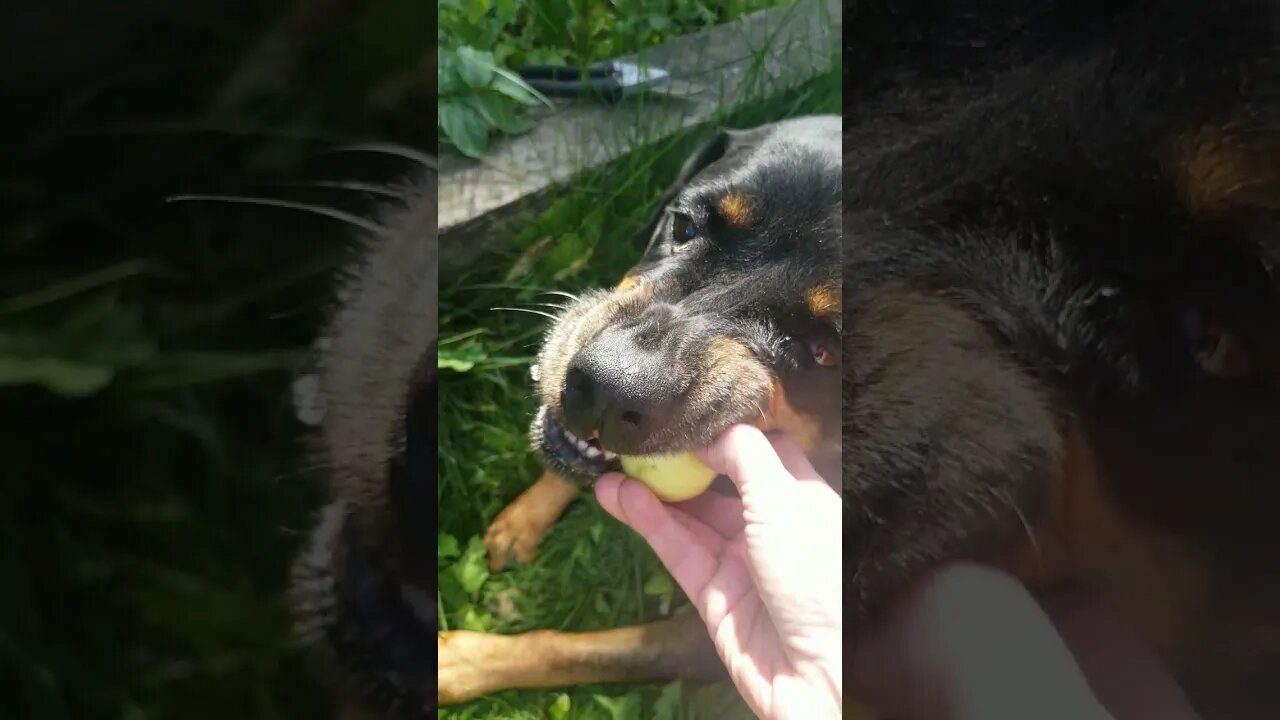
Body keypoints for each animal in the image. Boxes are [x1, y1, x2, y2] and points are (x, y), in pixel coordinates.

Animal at [435, 114, 844, 702]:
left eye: (823, 350)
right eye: (686, 226)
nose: (607, 389)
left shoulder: (700, 642)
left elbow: (583, 651)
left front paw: (458, 662)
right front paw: (522, 522)